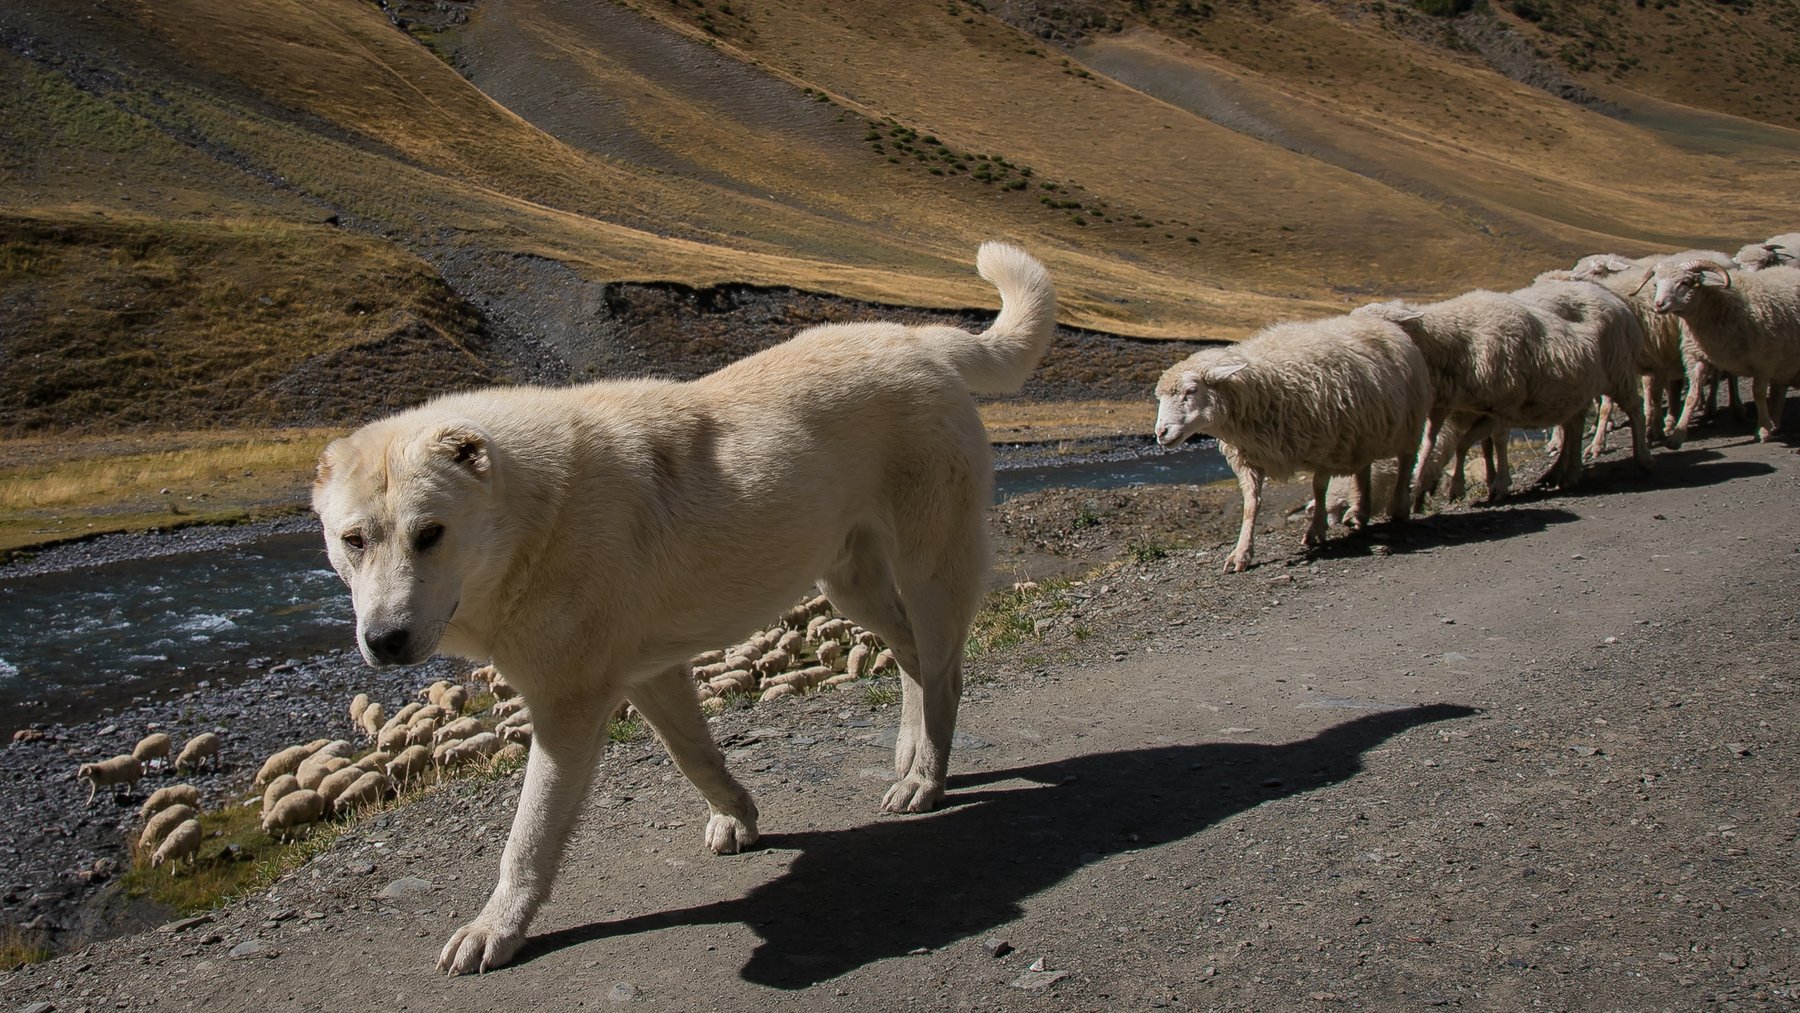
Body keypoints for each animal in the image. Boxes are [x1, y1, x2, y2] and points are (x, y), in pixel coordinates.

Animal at [313, 241, 1051, 978]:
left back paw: (926, 776)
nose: (384, 639)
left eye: (430, 533)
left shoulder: (567, 709)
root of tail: (919, 338)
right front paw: (740, 816)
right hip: (852, 586)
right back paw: (907, 755)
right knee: (913, 658)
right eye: (354, 540)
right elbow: (695, 756)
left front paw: (495, 927)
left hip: (928, 569)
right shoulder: (650, 677)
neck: (534, 517)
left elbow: (529, 836)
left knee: (944, 672)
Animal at [1152, 313, 1432, 575]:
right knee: (1363, 469)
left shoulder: (1327, 446)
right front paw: (1241, 554)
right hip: (1364, 433)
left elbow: (1319, 489)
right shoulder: (1249, 456)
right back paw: (1359, 513)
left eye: (1191, 391)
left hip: (1409, 421)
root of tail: (1383, 322)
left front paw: (1316, 530)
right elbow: (1251, 504)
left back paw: (1398, 508)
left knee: (1406, 460)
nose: (1160, 432)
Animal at [1648, 253, 1800, 444]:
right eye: (1656, 284)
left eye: (1685, 282)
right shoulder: (1697, 356)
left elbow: (1757, 393)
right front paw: (1677, 435)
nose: (1659, 304)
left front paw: (1763, 431)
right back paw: (1775, 420)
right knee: (1780, 387)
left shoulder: (1765, 360)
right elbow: (1692, 396)